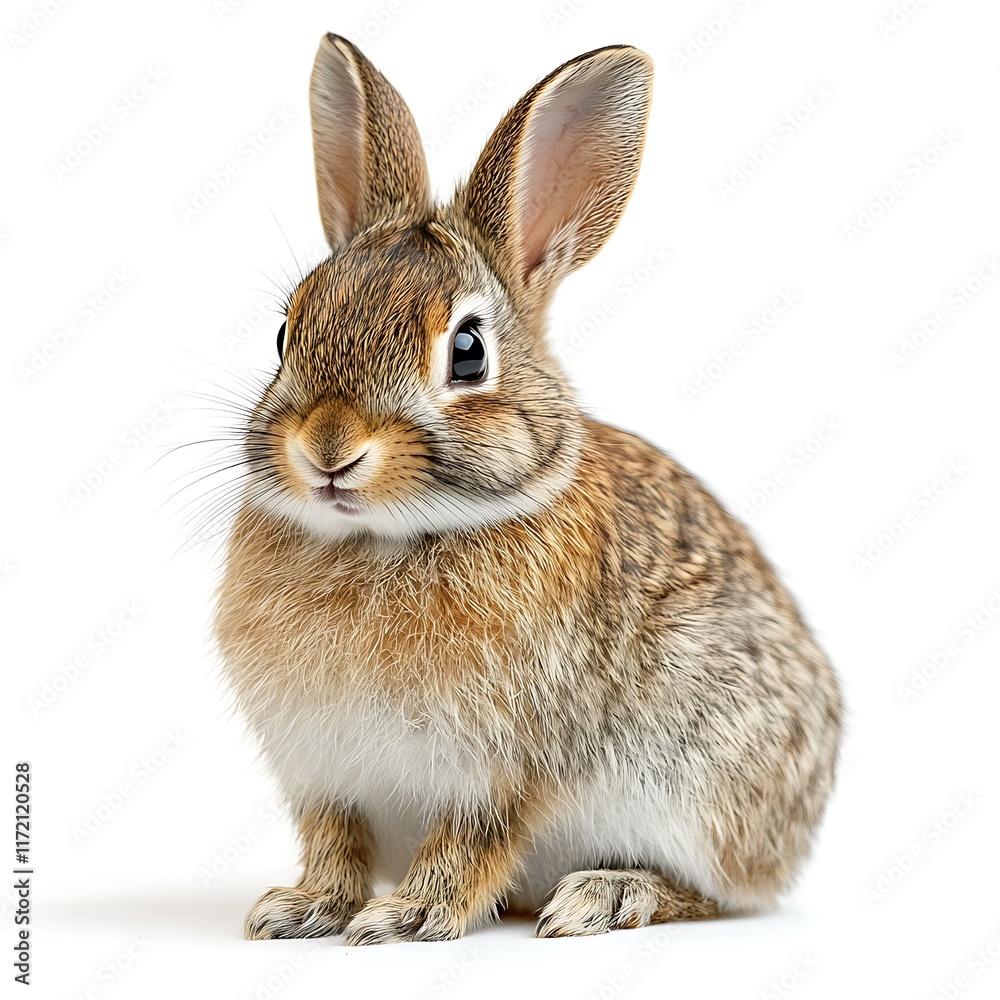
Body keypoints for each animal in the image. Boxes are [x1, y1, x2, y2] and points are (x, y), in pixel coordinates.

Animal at [214, 34, 842, 945]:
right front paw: (303, 909)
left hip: (707, 787)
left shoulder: (506, 768)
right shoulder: (324, 771)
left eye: (468, 352)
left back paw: (606, 895)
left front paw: (405, 917)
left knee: (725, 894)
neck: (388, 537)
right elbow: (336, 843)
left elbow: (470, 843)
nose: (328, 447)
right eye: (285, 331)